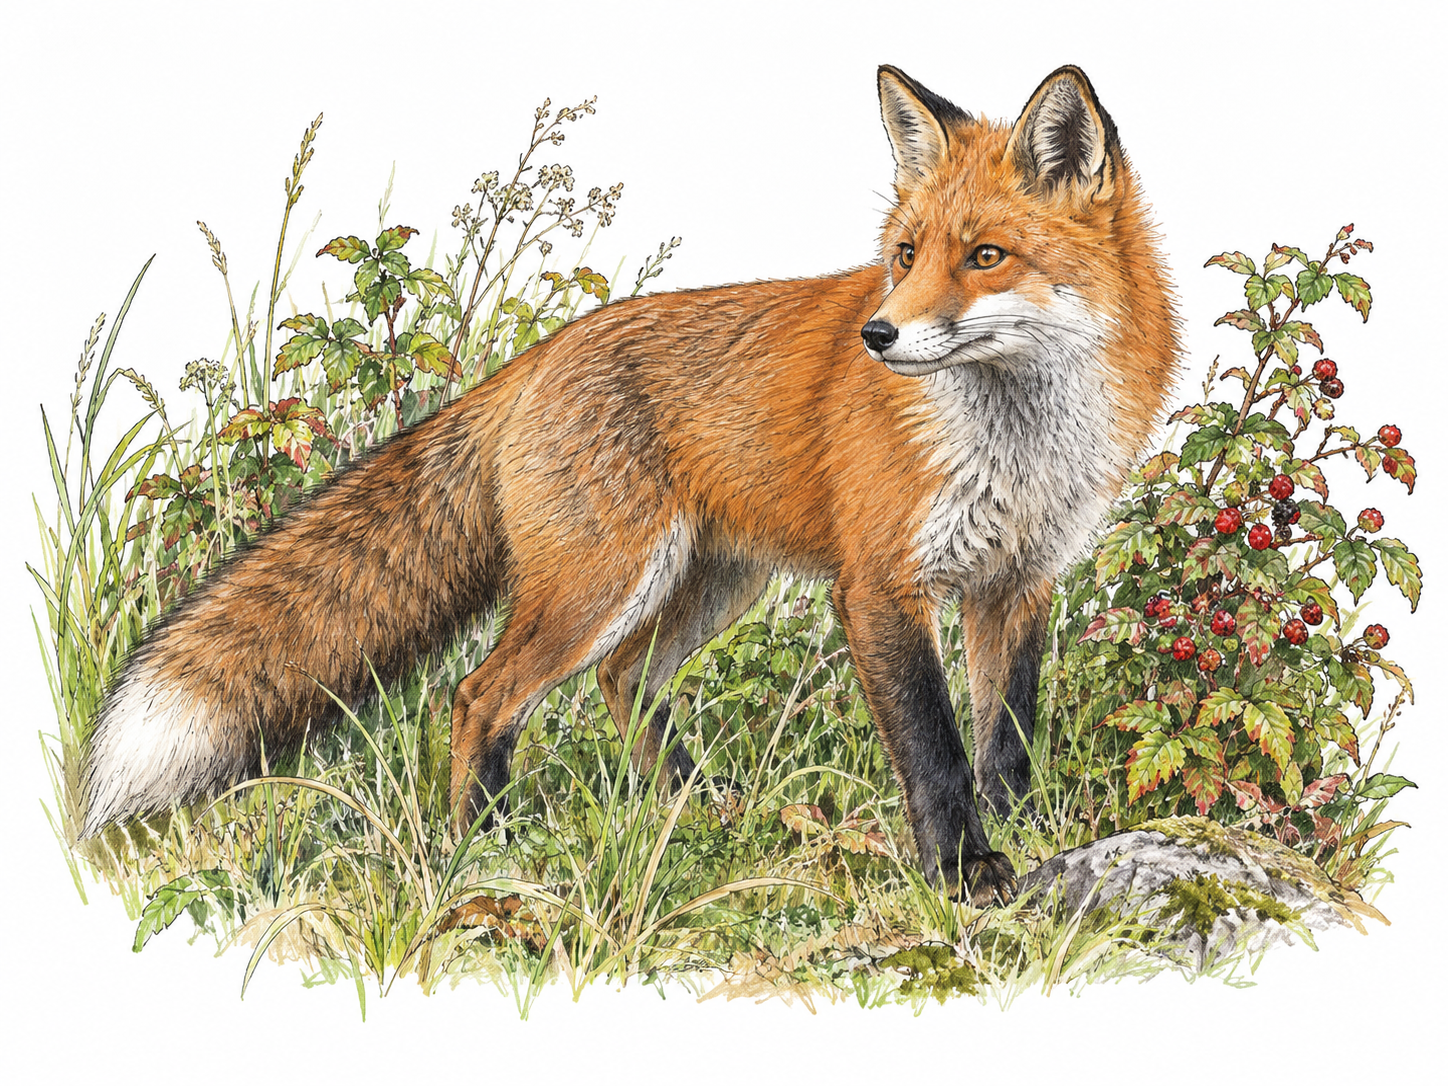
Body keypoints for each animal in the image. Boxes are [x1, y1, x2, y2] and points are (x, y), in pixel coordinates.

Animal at [81, 64, 1177, 905]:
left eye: (985, 256)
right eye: (904, 255)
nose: (876, 335)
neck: (1015, 443)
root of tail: (537, 358)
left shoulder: (1018, 581)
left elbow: (1008, 738)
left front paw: (1024, 836)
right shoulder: (879, 586)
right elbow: (936, 751)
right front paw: (963, 873)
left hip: (708, 584)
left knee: (622, 682)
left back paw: (705, 810)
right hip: (601, 583)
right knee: (481, 696)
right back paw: (490, 846)